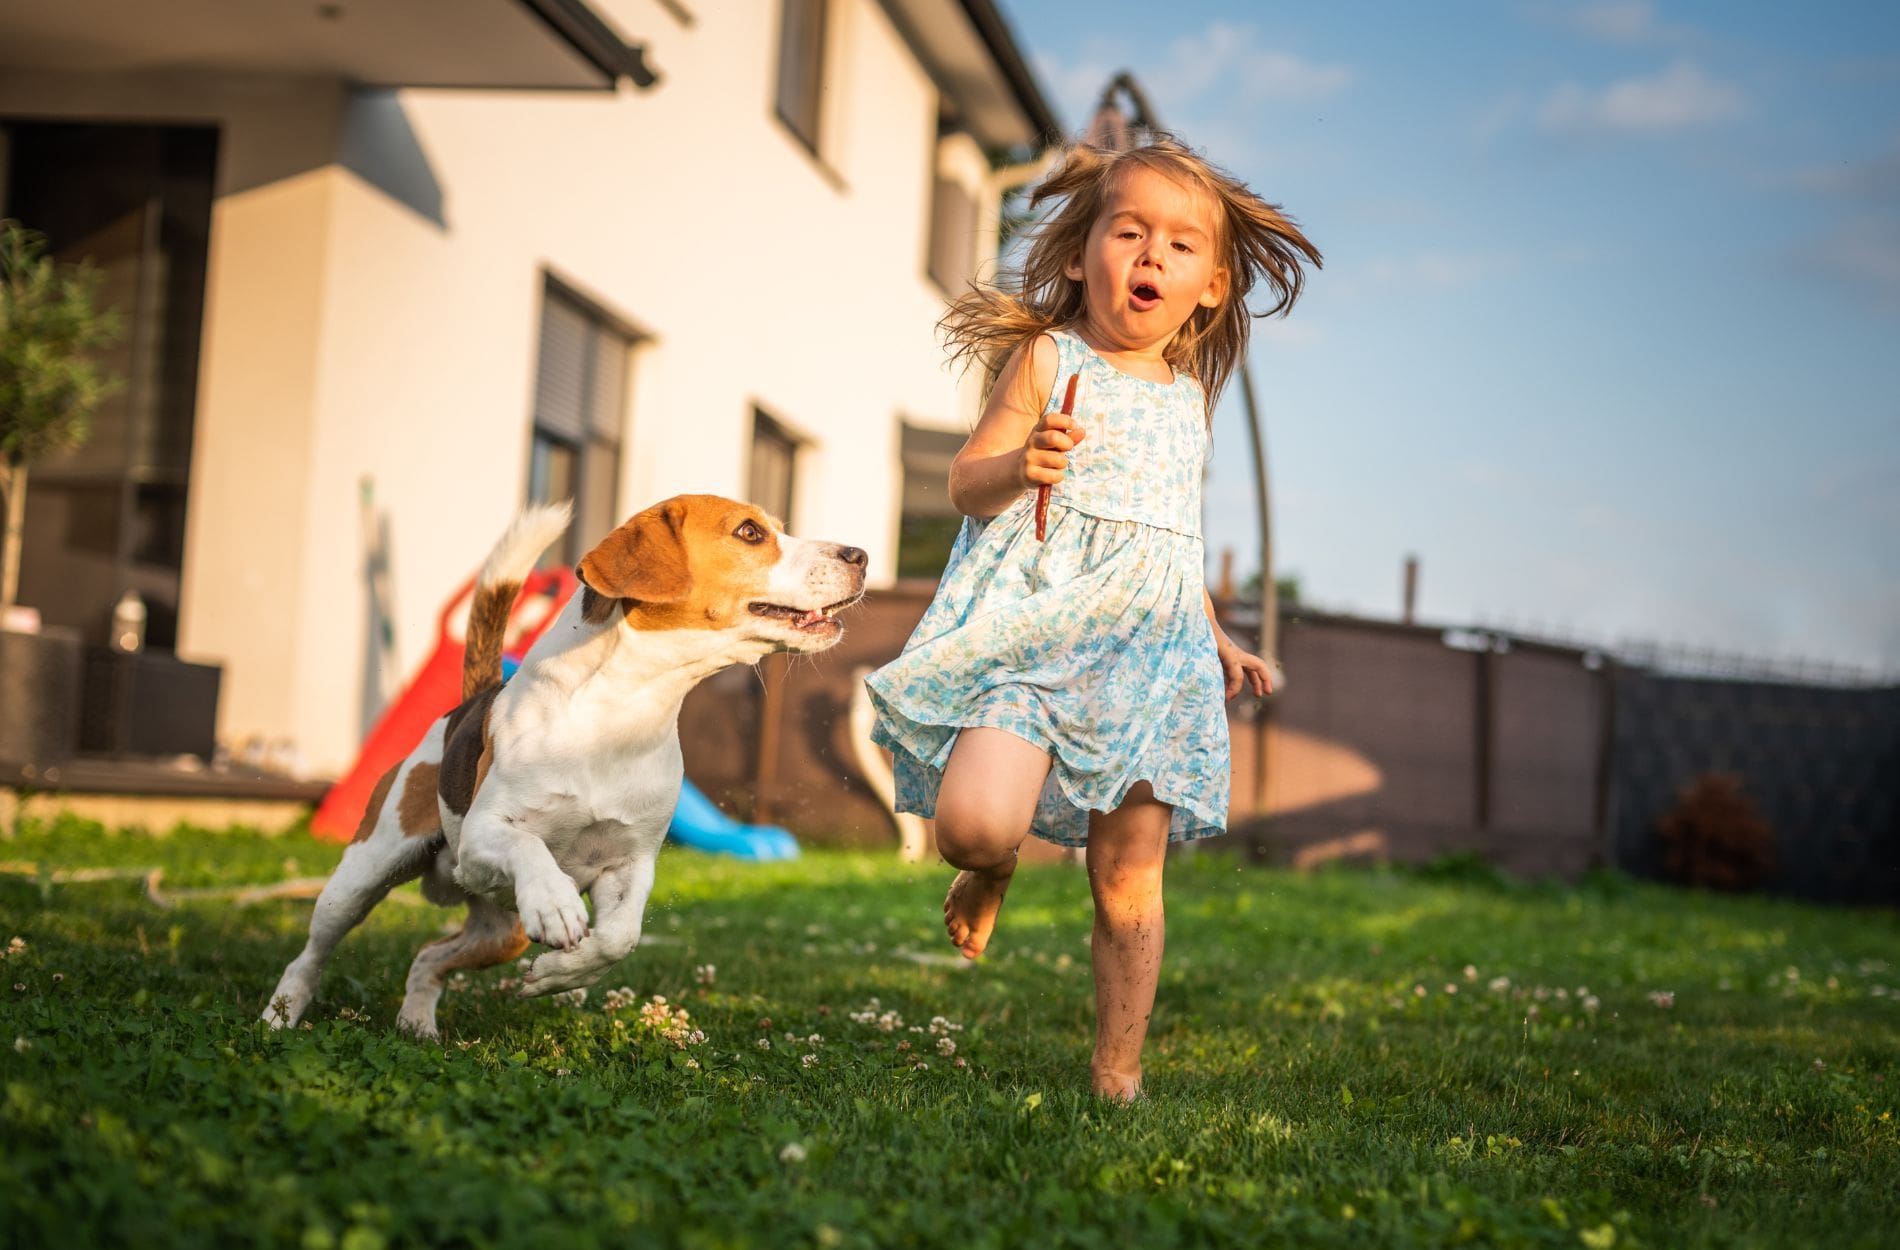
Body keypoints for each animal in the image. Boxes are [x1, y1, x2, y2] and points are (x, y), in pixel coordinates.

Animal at [262, 490, 870, 1033]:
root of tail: (467, 704)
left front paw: (560, 974)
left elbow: (618, 939)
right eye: (750, 532)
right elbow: (532, 849)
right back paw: (281, 1014)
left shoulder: (631, 863)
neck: (622, 710)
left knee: (428, 957)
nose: (860, 555)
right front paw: (557, 908)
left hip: (500, 931)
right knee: (312, 952)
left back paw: (416, 1022)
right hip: (365, 874)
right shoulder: (485, 833)